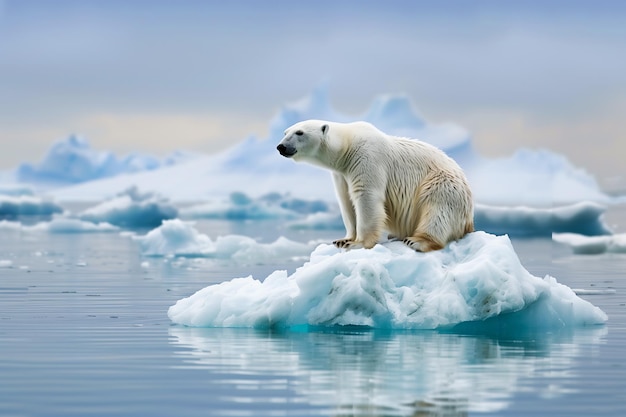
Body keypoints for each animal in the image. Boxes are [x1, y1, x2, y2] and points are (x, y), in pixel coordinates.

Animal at [276, 118, 470, 252]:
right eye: (285, 132)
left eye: (299, 132)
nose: (280, 146)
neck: (347, 147)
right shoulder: (341, 174)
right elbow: (346, 202)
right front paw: (343, 240)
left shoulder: (367, 158)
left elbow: (366, 197)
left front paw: (358, 243)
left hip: (443, 182)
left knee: (437, 207)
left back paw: (417, 240)